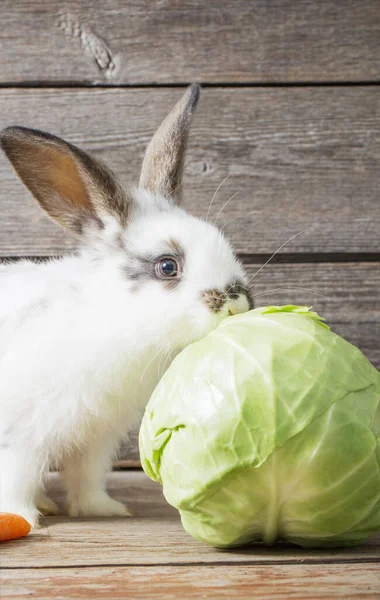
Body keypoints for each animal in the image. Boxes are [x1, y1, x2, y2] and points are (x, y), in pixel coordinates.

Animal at [0, 83, 254, 524]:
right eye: (167, 266)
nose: (235, 303)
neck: (109, 319)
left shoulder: (96, 438)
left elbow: (86, 477)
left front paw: (104, 511)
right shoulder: (22, 437)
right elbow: (17, 478)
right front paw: (19, 518)